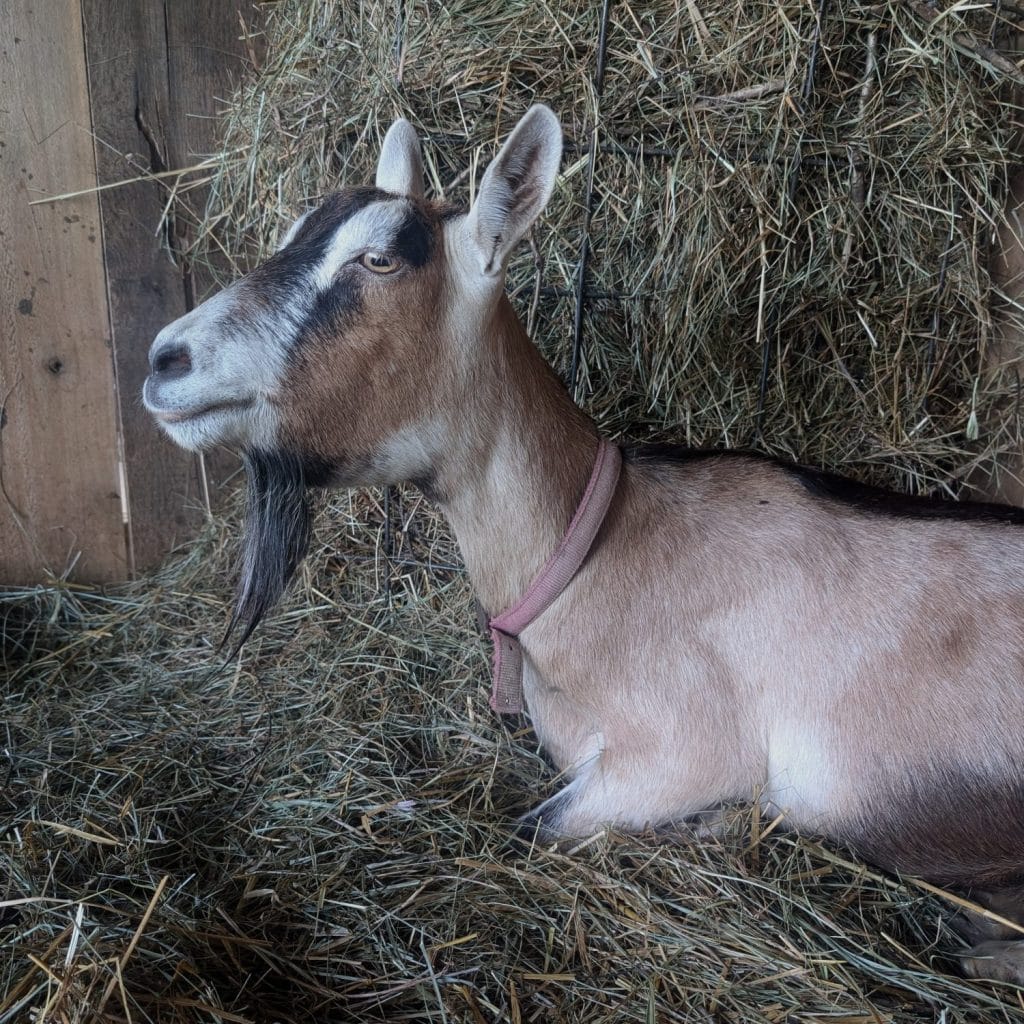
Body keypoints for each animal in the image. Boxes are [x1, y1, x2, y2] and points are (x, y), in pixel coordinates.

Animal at [144, 106, 1024, 984]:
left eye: (380, 258)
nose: (164, 360)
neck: (601, 552)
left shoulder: (684, 756)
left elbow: (533, 826)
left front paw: (722, 826)